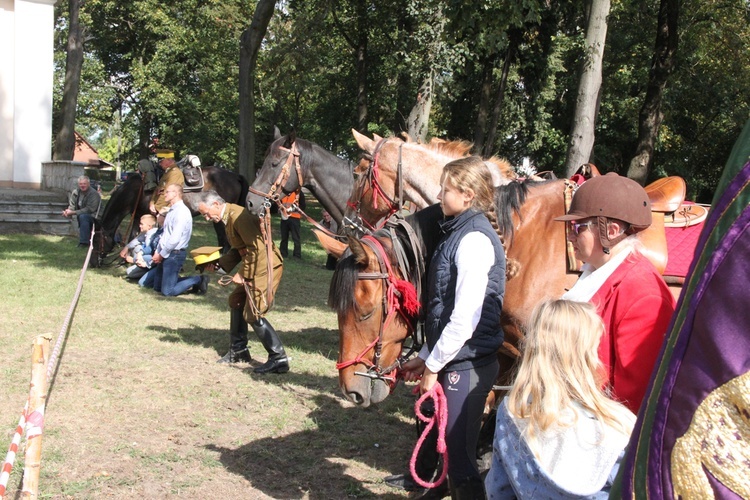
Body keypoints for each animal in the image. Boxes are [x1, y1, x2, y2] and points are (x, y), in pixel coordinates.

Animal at [91, 164, 250, 268]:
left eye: (97, 240)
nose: (93, 262)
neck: (136, 191)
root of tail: (235, 175)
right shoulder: (138, 217)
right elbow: (133, 237)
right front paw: (124, 260)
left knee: (224, 239)